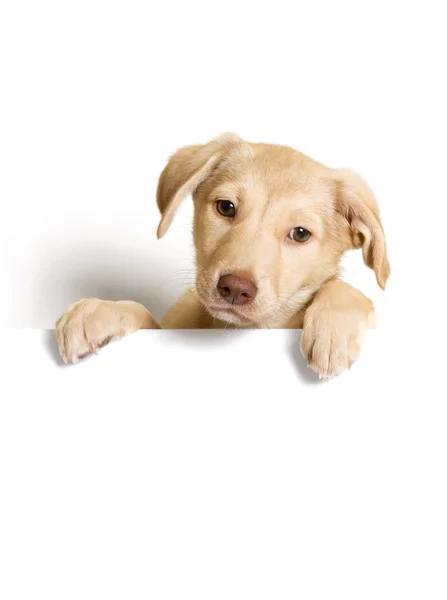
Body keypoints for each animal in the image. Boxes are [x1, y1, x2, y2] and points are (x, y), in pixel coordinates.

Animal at [56, 134, 390, 378]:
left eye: (300, 234)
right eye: (226, 207)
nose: (235, 288)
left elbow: (345, 289)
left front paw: (334, 330)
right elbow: (143, 315)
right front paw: (101, 310)